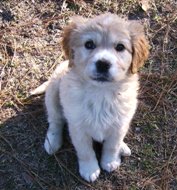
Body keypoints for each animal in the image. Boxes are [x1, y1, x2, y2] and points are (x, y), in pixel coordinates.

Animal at [42, 13, 149, 183]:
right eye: (89, 44)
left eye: (120, 47)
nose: (103, 64)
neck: (101, 93)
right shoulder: (77, 127)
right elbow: (85, 151)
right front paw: (90, 169)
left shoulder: (120, 124)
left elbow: (112, 145)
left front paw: (110, 161)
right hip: (52, 92)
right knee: (55, 121)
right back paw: (52, 142)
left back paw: (123, 147)